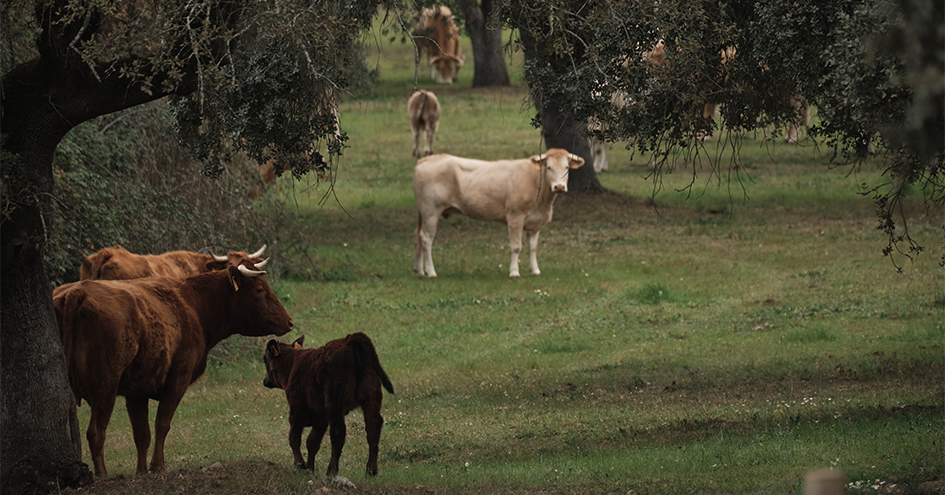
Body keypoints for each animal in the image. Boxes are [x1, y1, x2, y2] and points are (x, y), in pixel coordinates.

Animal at [55, 258, 292, 478]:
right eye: (259, 289)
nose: (289, 322)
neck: (193, 305)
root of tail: (79, 290)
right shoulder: (179, 378)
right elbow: (162, 423)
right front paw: (157, 466)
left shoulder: (136, 390)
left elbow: (142, 434)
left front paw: (141, 471)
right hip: (106, 387)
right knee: (96, 432)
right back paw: (102, 475)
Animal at [260, 336, 392, 478]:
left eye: (265, 359)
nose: (265, 381)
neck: (292, 364)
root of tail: (351, 339)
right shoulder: (320, 417)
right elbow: (312, 442)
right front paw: (310, 469)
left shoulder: (297, 410)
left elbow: (294, 437)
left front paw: (300, 464)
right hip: (371, 398)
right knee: (373, 427)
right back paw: (371, 470)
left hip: (335, 404)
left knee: (338, 432)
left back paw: (332, 471)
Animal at [412, 147, 584, 280]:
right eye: (549, 167)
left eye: (567, 168)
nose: (559, 187)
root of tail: (427, 159)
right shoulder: (515, 216)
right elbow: (516, 246)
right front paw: (514, 272)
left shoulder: (535, 222)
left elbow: (533, 248)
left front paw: (535, 271)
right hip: (431, 211)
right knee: (426, 239)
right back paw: (431, 272)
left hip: (423, 212)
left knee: (418, 236)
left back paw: (419, 271)